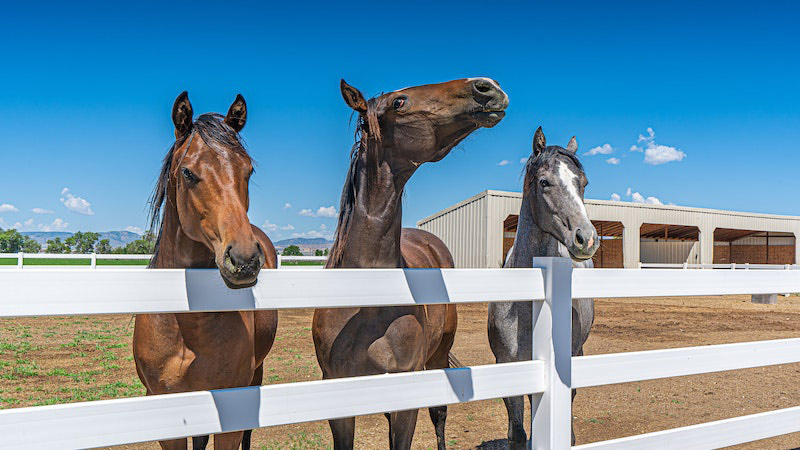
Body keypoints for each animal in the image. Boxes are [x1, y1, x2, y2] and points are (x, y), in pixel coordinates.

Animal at [310, 78, 506, 450]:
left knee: (439, 414)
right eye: (399, 102)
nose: (487, 87)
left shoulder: (408, 394)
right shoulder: (339, 400)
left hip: (439, 355)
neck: (366, 305)